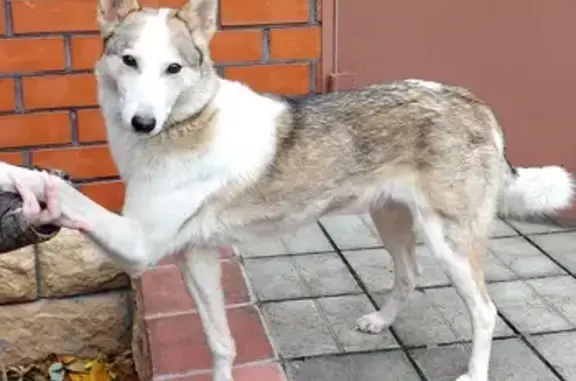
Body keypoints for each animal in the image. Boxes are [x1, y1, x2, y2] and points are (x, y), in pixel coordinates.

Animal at [0, 0, 572, 380]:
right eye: (128, 61)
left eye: (173, 69)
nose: (143, 122)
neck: (188, 124)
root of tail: (473, 101)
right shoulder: (196, 257)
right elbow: (221, 343)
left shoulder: (139, 245)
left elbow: (55, 187)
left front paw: (18, 175)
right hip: (390, 219)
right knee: (408, 276)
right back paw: (380, 322)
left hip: (448, 240)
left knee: (485, 311)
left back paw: (474, 372)